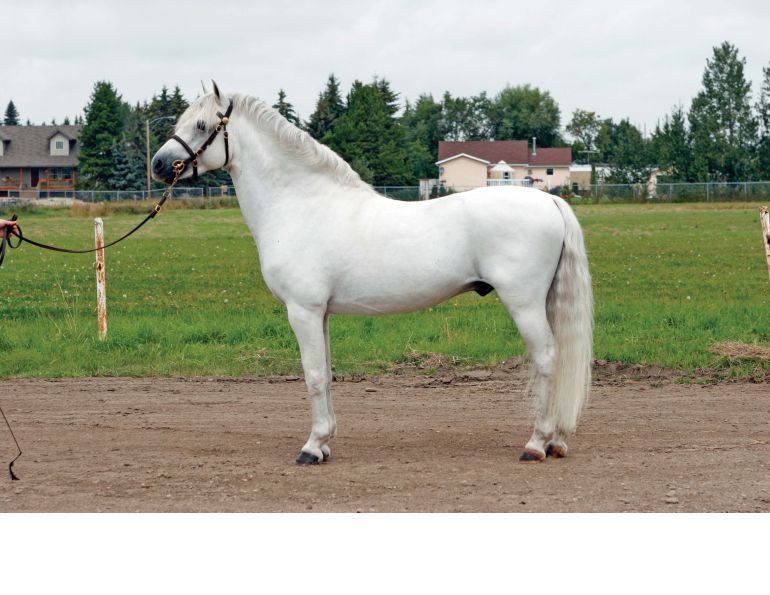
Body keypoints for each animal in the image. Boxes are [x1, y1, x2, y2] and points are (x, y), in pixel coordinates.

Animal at [151, 82, 593, 465]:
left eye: (202, 125)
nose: (158, 165)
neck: (301, 204)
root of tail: (550, 202)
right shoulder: (321, 314)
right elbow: (327, 374)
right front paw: (325, 443)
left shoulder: (303, 311)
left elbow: (313, 375)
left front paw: (311, 448)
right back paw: (554, 442)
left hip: (524, 303)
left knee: (547, 357)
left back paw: (535, 444)